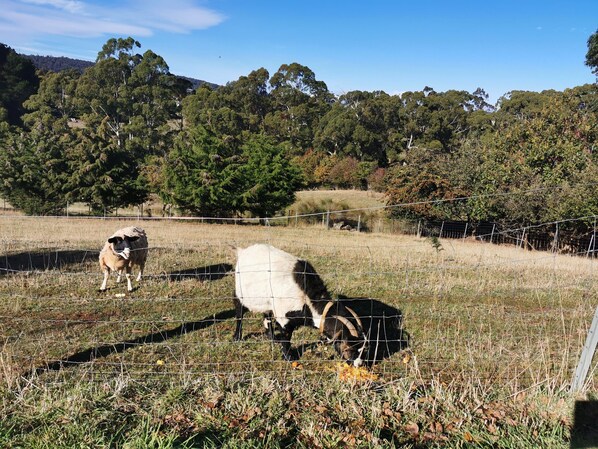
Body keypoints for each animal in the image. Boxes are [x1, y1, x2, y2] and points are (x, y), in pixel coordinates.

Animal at [236, 243, 370, 366]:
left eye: (363, 348)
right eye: (348, 347)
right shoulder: (283, 316)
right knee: (239, 312)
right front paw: (288, 357)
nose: (358, 364)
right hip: (240, 292)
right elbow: (286, 336)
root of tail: (243, 251)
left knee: (267, 315)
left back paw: (272, 337)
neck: (307, 298)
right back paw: (237, 337)